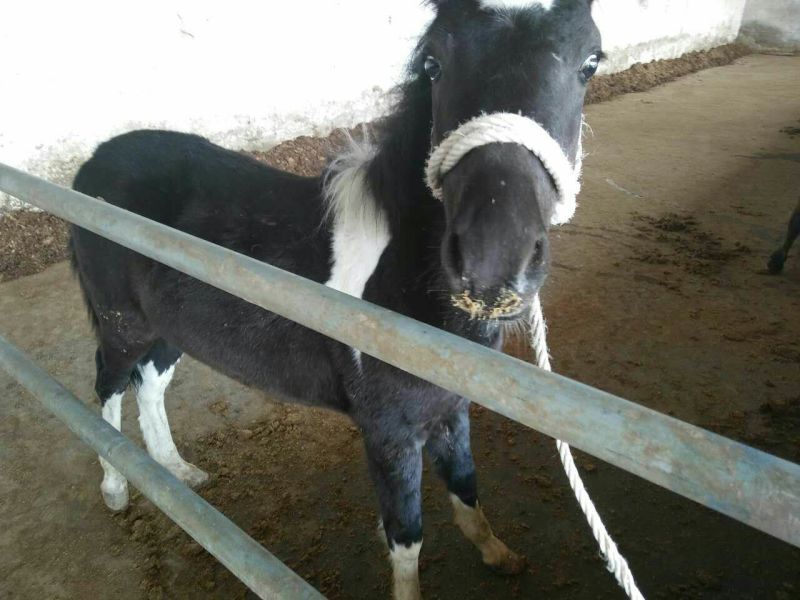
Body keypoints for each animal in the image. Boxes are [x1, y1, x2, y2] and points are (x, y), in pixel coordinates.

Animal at [69, 1, 602, 597]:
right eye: (434, 63)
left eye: (590, 63)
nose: (494, 263)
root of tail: (92, 166)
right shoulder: (389, 433)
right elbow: (407, 535)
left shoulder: (449, 410)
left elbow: (466, 488)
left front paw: (499, 555)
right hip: (123, 325)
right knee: (109, 387)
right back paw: (117, 489)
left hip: (169, 328)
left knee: (151, 384)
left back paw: (177, 473)